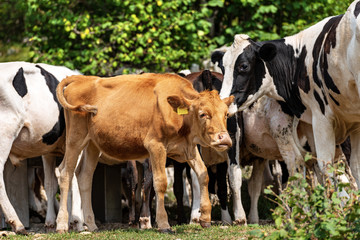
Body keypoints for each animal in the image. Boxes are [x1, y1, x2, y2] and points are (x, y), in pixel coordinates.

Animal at [54, 73, 232, 232]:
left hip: (92, 144)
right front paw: (163, 224)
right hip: (75, 138)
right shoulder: (155, 146)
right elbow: (160, 182)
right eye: (203, 114)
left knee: (85, 176)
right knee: (65, 173)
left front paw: (205, 219)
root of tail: (81, 78)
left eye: (226, 114)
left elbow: (203, 174)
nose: (224, 138)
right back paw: (62, 225)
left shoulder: (189, 148)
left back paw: (91, 225)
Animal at [212, 0, 360, 189]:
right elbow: (354, 169)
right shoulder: (353, 122)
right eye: (223, 68)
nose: (222, 105)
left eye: (243, 66)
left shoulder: (321, 118)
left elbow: (327, 169)